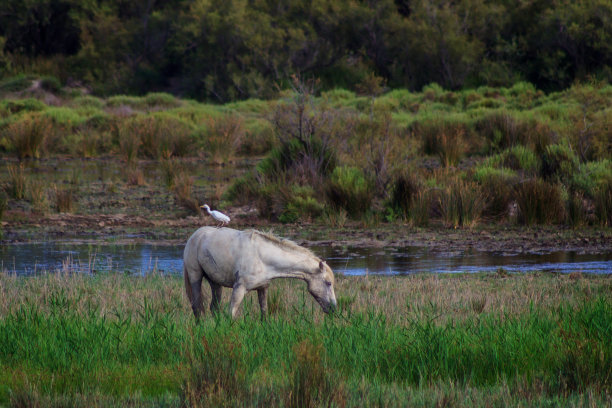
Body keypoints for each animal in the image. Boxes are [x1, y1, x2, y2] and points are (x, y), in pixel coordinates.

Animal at [182, 226, 338, 318]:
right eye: (328, 283)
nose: (333, 308)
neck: (262, 257)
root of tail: (195, 235)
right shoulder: (239, 289)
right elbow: (230, 314)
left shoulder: (263, 288)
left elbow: (264, 313)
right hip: (195, 277)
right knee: (196, 307)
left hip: (215, 283)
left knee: (213, 308)